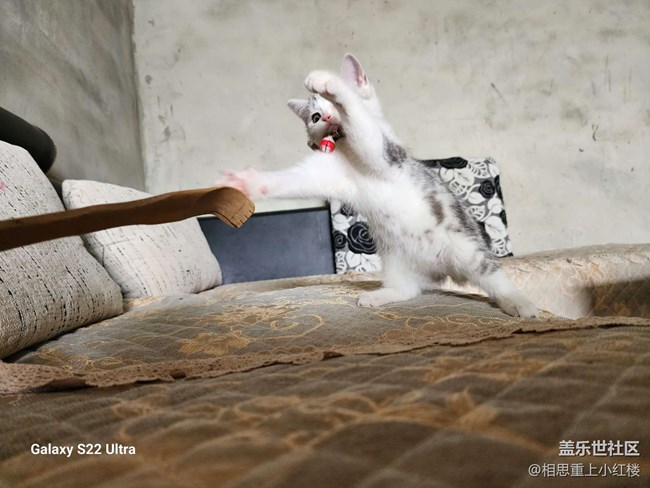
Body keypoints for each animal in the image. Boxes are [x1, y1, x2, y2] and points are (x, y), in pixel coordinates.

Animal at [218, 54, 539, 317]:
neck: (347, 153)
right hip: (395, 259)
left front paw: (330, 82)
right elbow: (292, 182)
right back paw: (382, 295)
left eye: (331, 108)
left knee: (493, 276)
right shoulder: (328, 174)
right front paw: (244, 182)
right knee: (409, 289)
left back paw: (521, 304)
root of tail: (439, 271)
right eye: (316, 117)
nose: (330, 117)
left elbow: (361, 121)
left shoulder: (384, 152)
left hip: (467, 251)